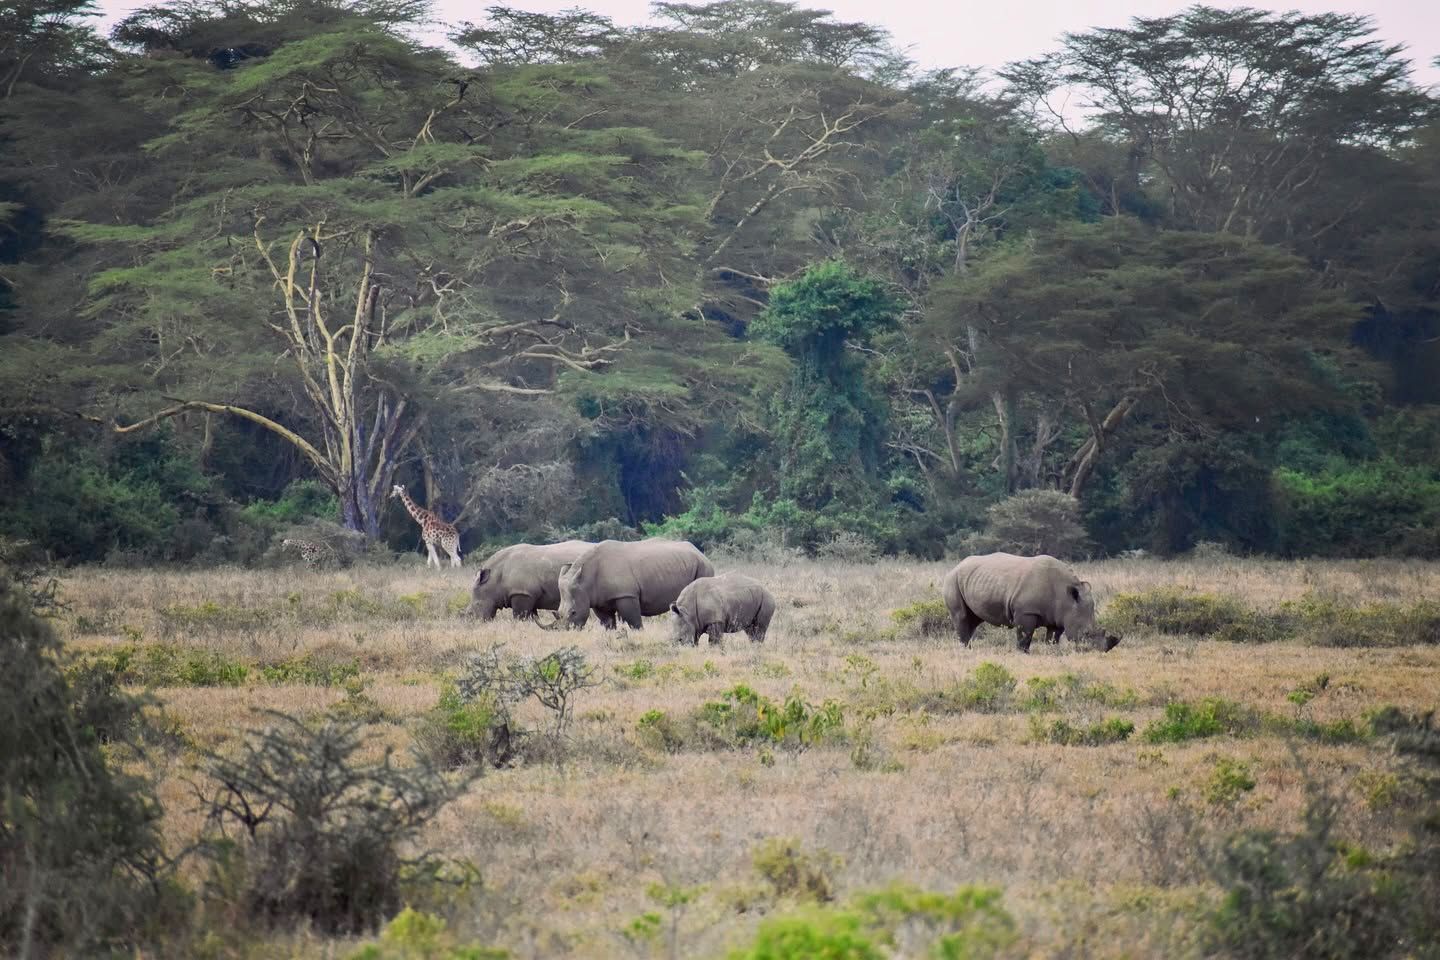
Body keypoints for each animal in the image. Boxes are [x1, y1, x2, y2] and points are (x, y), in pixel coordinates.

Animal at [557, 539, 715, 629]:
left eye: (573, 612)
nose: (569, 630)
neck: (585, 580)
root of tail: (700, 552)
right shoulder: (598, 599)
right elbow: (608, 623)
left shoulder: (626, 595)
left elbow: (635, 622)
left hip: (703, 566)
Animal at [941, 552, 1120, 653]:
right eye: (1086, 634)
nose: (1099, 652)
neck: (1067, 597)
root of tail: (956, 566)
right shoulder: (1025, 611)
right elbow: (1025, 635)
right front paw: (1023, 652)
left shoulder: (1059, 615)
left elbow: (1054, 636)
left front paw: (1051, 650)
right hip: (952, 580)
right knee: (961, 616)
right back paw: (966, 650)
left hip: (974, 580)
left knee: (973, 619)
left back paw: (969, 648)